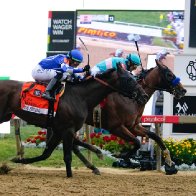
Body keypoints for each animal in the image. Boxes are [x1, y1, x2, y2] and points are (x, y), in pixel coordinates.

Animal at [0, 64, 149, 178]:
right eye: (129, 80)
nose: (144, 96)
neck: (80, 97)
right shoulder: (67, 129)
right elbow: (67, 155)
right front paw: (70, 175)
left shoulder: (60, 130)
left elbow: (46, 154)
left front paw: (17, 160)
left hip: (6, 116)